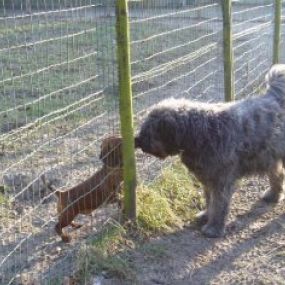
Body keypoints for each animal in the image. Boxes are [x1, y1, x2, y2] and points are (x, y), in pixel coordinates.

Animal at [134, 64, 284, 237]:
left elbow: (219, 204)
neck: (202, 132)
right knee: (277, 175)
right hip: (271, 157)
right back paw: (273, 195)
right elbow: (209, 200)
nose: (137, 140)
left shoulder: (221, 179)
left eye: (151, 129)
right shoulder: (207, 177)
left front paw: (213, 227)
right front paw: (206, 215)